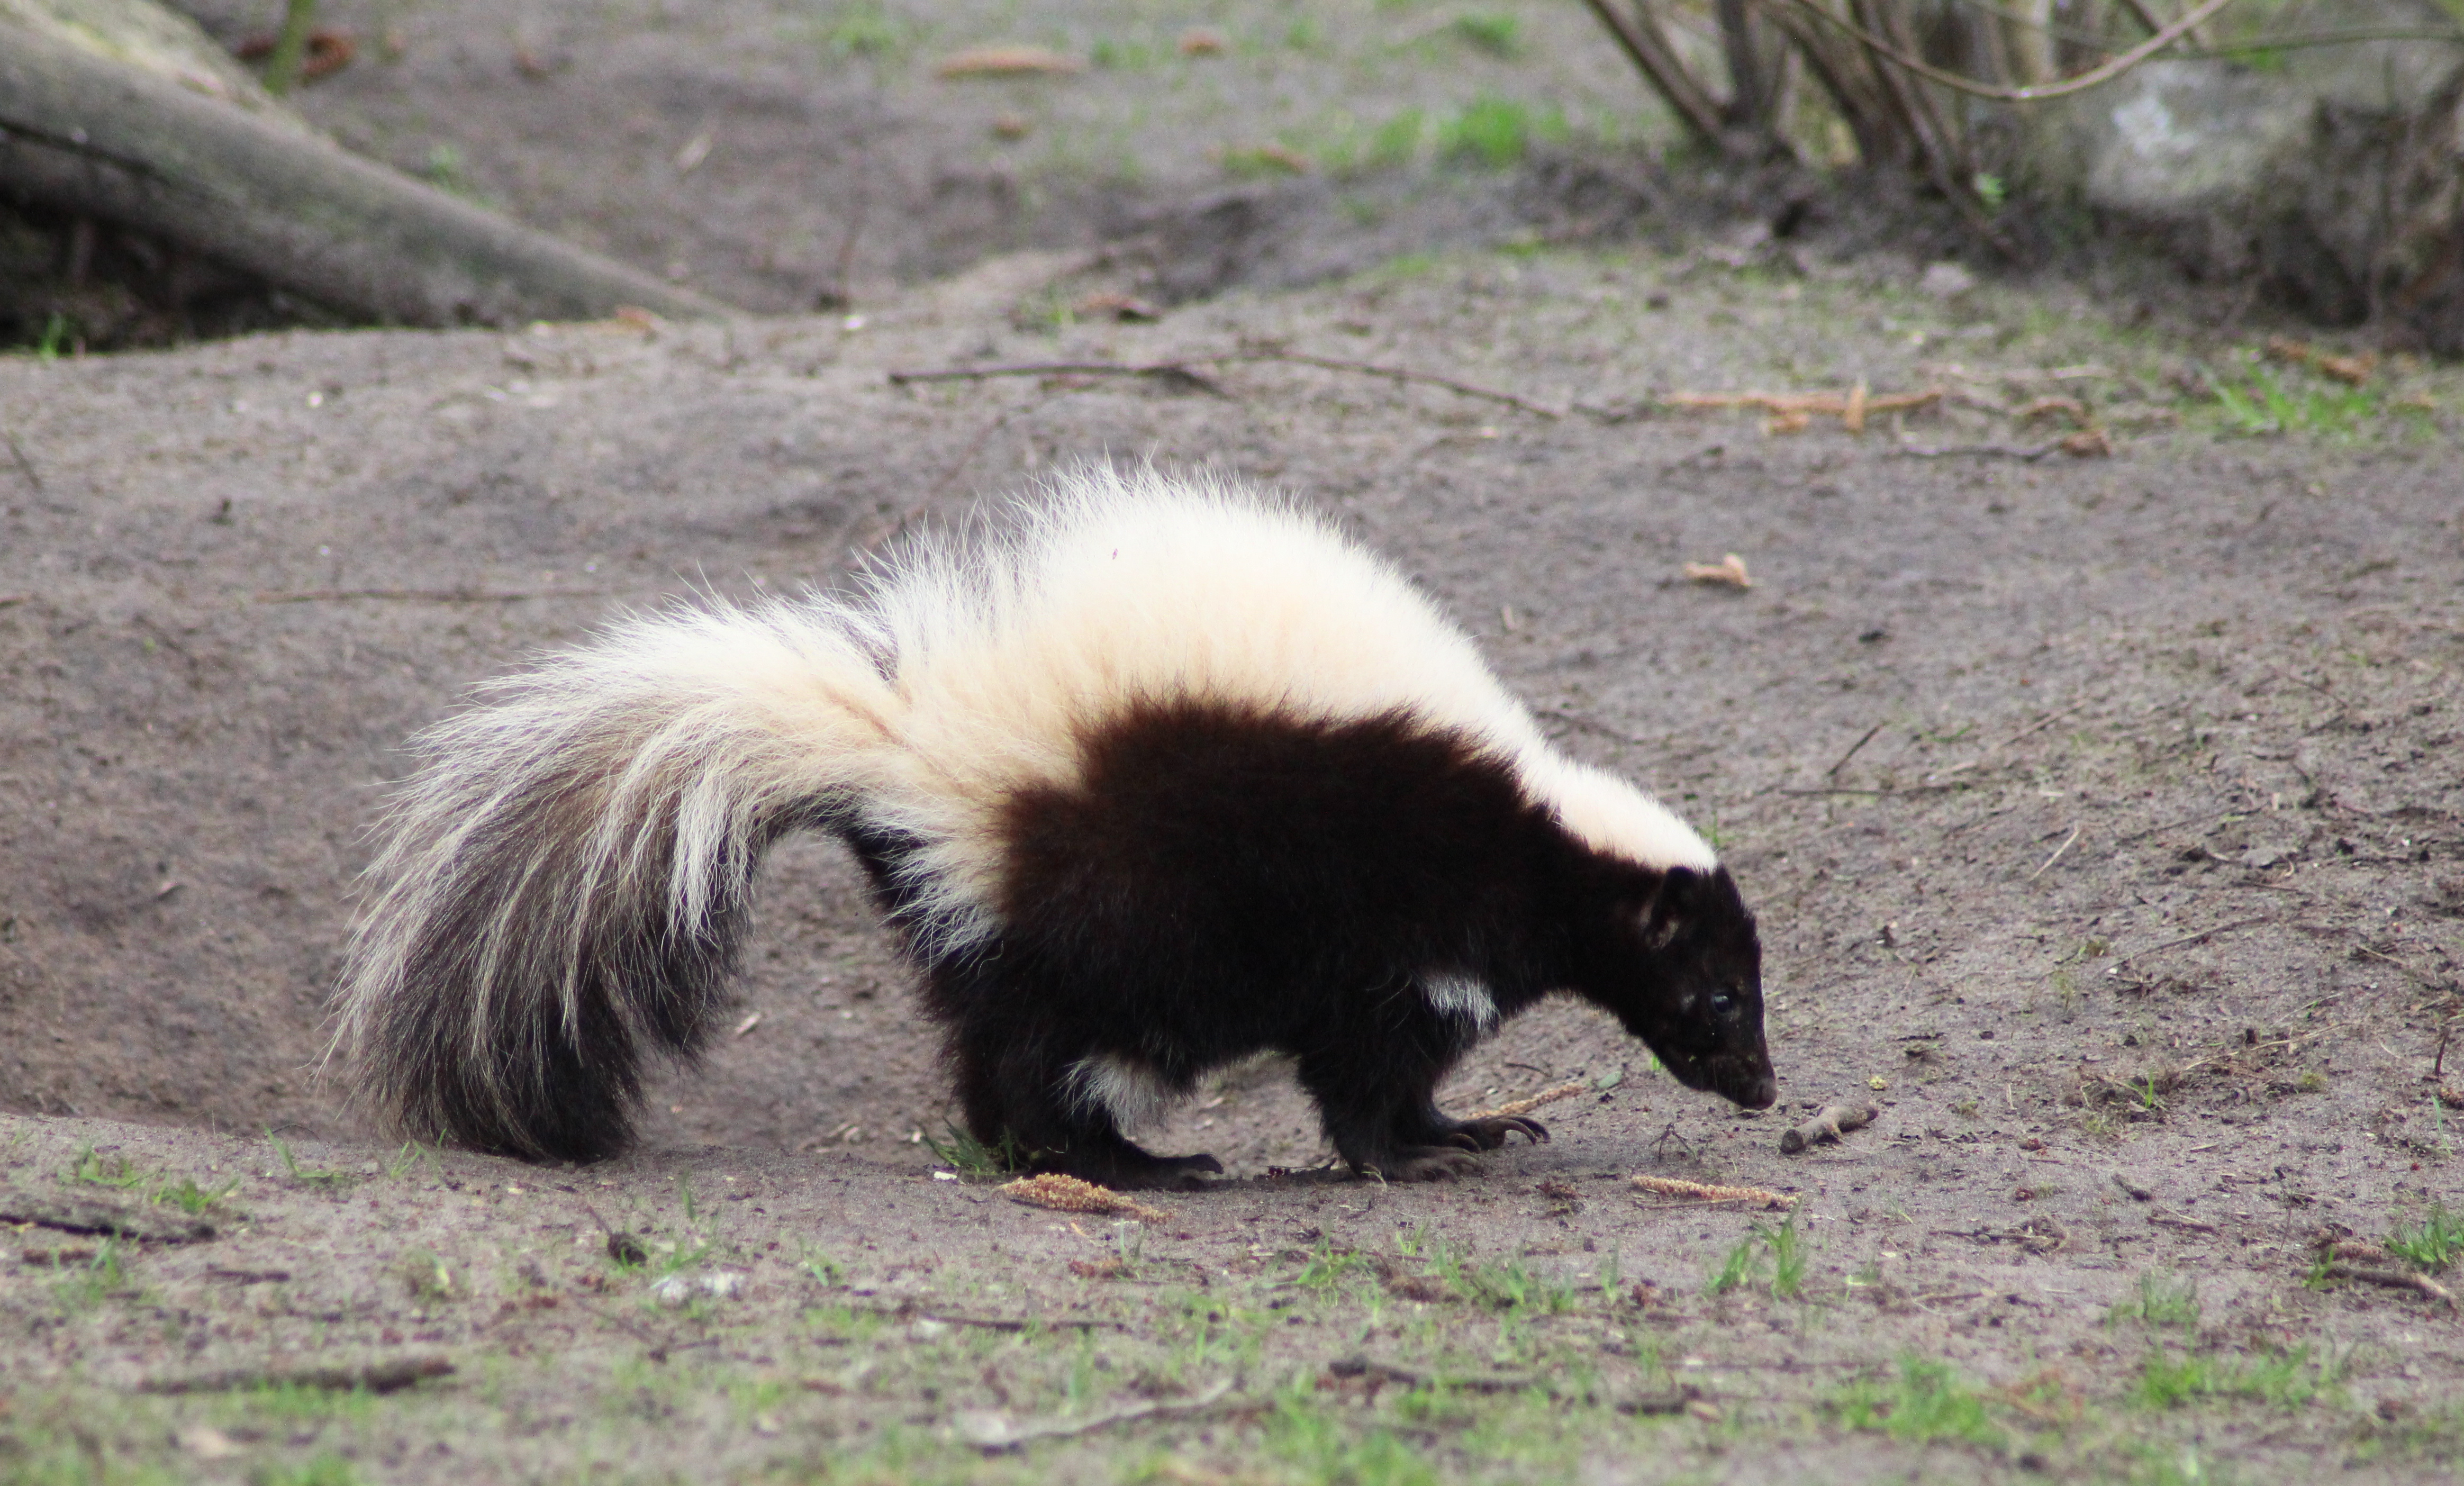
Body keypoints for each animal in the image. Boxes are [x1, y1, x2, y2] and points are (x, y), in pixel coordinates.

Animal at [342, 470, 1774, 1192]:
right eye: (1717, 997)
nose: (1762, 1086)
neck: (1540, 829)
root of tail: (917, 757)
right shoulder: (1411, 919)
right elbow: (1373, 1065)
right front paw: (1429, 1150)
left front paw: (1458, 1134)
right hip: (1125, 915)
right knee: (1050, 1057)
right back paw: (1136, 1163)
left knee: (1001, 1045)